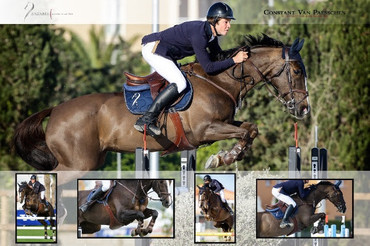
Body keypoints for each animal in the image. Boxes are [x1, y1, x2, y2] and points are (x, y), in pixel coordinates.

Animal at [13, 34, 310, 177]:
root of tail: (55, 110)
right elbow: (245, 131)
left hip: (90, 161)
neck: (220, 80)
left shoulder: (222, 124)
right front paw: (223, 157)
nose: (303, 109)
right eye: (296, 70)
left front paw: (228, 155)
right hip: (77, 164)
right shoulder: (205, 130)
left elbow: (250, 128)